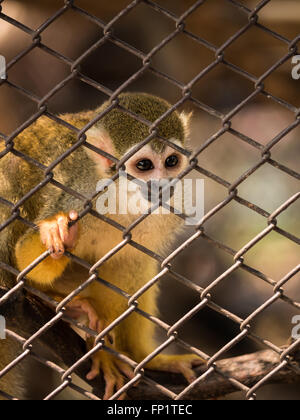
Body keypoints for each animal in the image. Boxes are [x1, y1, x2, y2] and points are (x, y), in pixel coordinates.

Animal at [0, 92, 203, 400]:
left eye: (171, 161)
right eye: (144, 166)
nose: (162, 185)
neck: (122, 193)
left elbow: (125, 264)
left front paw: (110, 350)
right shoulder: (78, 195)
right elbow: (26, 259)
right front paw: (55, 230)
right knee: (9, 178)